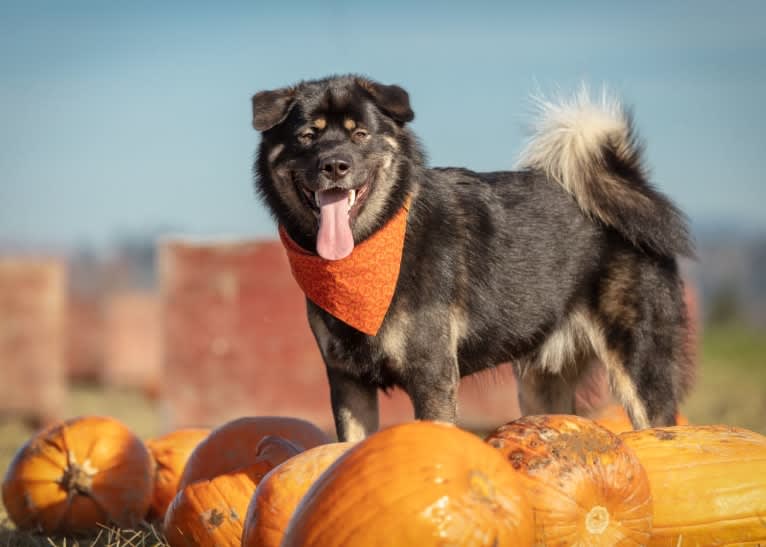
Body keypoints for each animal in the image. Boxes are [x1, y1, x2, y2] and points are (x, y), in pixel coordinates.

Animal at [252, 75, 696, 444]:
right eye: (308, 136)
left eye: (360, 135)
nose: (334, 165)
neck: (375, 242)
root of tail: (629, 188)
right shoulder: (347, 381)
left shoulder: (432, 375)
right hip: (542, 382)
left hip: (641, 366)